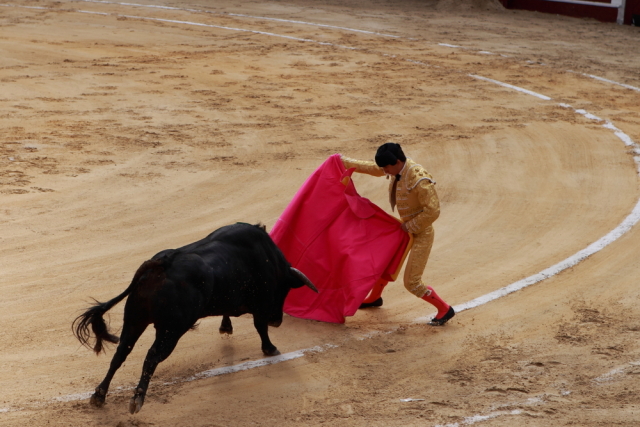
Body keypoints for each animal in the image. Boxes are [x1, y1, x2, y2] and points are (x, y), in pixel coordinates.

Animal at [73, 224, 318, 414]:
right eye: (284, 289)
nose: (276, 321)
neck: (267, 258)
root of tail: (161, 264)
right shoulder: (259, 305)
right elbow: (259, 327)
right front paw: (270, 348)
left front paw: (226, 327)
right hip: (171, 330)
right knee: (151, 357)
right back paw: (137, 400)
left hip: (135, 319)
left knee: (121, 353)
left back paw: (99, 395)